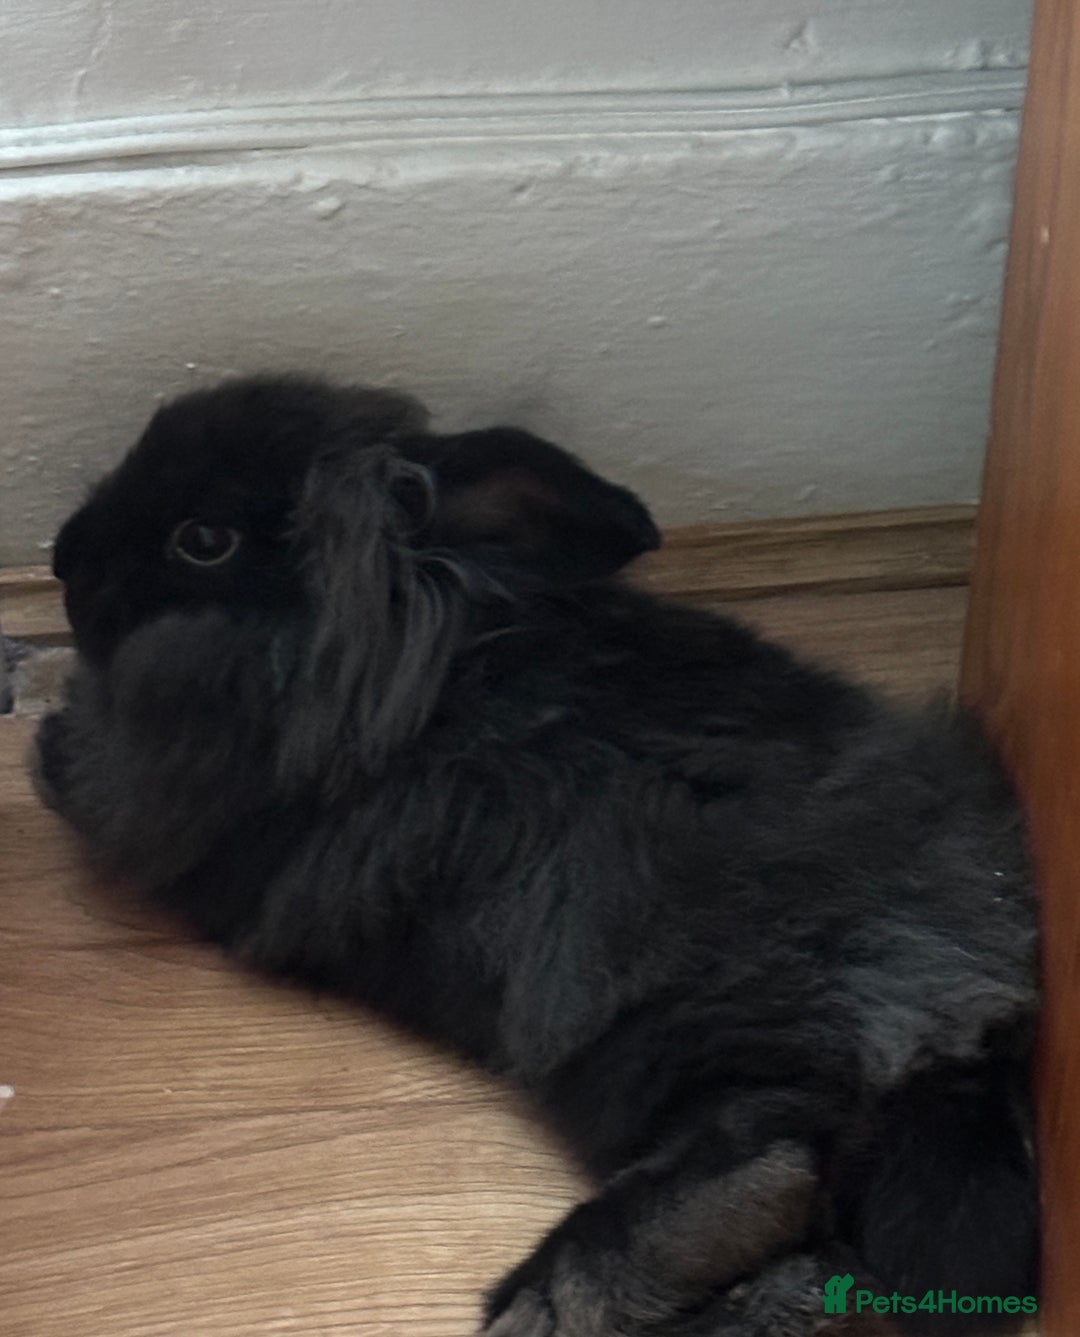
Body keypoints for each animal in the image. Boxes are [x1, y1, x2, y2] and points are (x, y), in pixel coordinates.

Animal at [34, 374, 1038, 1337]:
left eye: (202, 540)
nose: (59, 560)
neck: (416, 657)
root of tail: (971, 1007)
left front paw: (43, 725)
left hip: (683, 1015)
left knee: (771, 1146)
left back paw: (547, 1301)